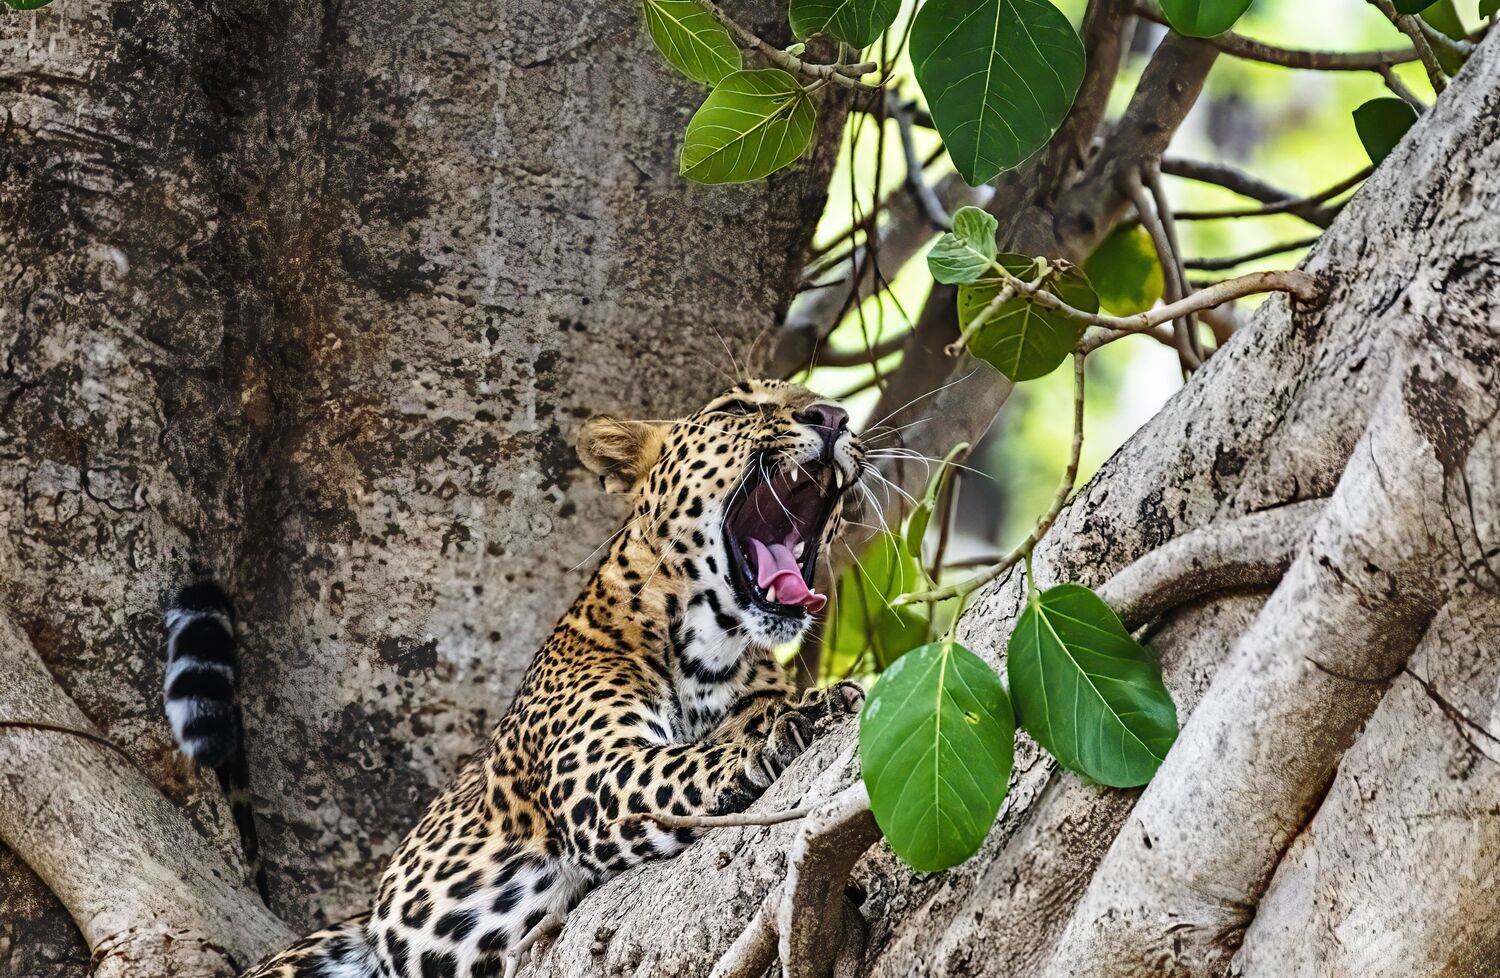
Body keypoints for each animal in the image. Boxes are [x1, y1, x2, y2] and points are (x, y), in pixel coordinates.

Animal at [162, 379, 870, 978]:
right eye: (738, 407)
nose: (833, 416)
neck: (711, 647)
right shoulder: (599, 774)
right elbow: (693, 760)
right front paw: (789, 727)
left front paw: (808, 705)